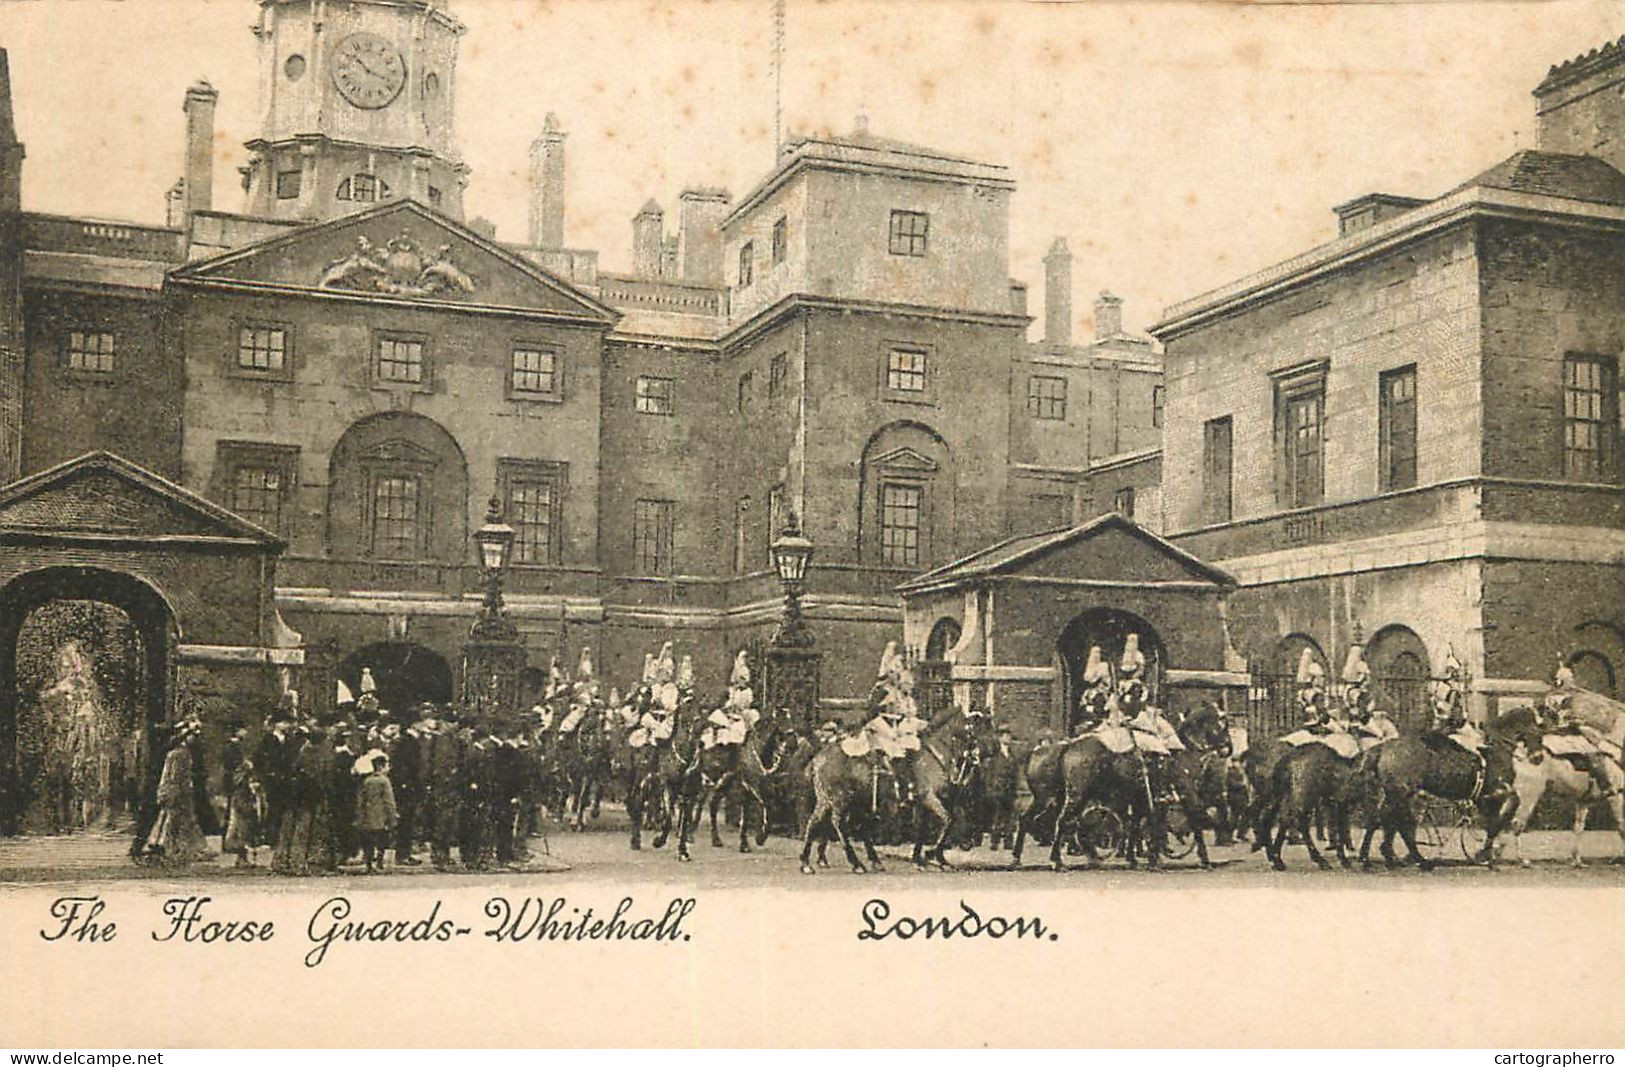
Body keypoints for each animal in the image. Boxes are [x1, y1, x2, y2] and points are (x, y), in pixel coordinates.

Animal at [1352, 708, 1540, 863]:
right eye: (1539, 730)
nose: (1537, 758)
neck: (1495, 747)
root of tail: (1383, 747)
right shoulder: (1496, 792)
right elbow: (1501, 817)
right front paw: (1488, 853)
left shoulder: (1485, 797)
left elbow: (1493, 821)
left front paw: (1486, 852)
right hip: (1400, 793)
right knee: (1392, 820)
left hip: (1399, 794)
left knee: (1384, 819)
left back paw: (1382, 855)